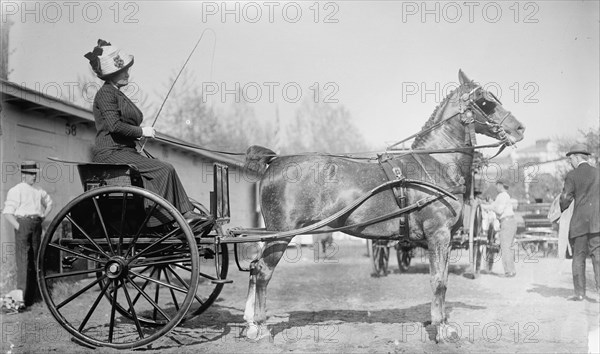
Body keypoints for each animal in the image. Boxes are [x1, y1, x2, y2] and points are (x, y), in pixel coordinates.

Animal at [241, 70, 524, 342]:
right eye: (485, 101)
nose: (520, 128)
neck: (436, 165)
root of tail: (275, 162)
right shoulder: (439, 235)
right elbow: (439, 281)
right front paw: (442, 330)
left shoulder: (446, 238)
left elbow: (442, 279)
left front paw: (441, 323)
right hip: (281, 234)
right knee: (263, 271)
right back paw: (261, 328)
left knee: (255, 267)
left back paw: (251, 324)